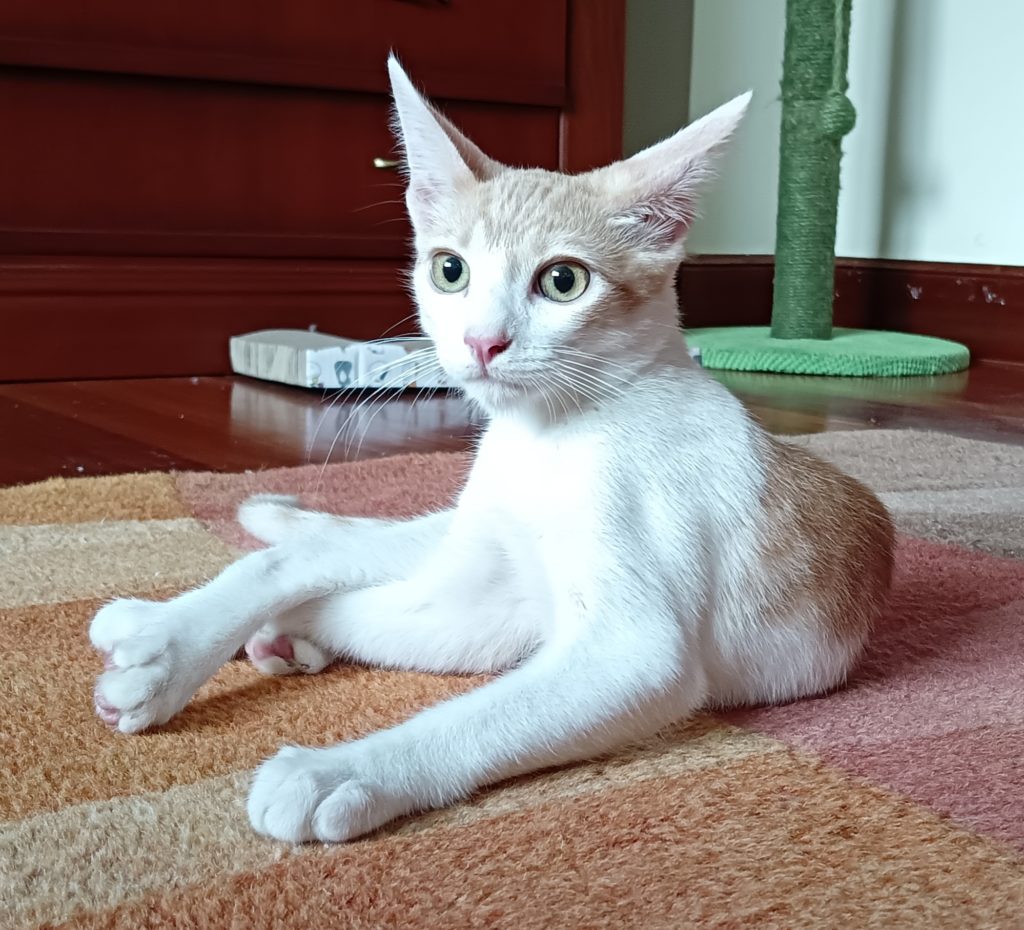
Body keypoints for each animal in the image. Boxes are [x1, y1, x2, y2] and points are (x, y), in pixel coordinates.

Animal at [90, 56, 894, 844]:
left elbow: (477, 715)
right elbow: (334, 583)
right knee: (315, 549)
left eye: (564, 281)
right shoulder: (484, 581)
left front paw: (336, 772)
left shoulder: (621, 646)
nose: (483, 342)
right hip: (454, 540)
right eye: (450, 270)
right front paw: (196, 649)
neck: (547, 437)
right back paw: (171, 623)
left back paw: (264, 638)